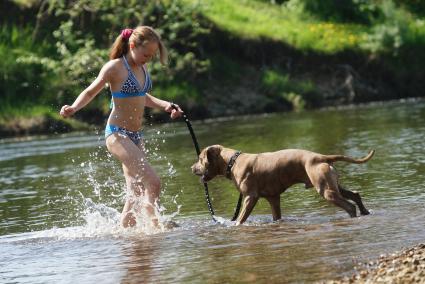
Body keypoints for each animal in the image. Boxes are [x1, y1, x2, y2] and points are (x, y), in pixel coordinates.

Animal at [192, 145, 374, 225]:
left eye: (200, 159)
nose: (191, 168)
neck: (232, 161)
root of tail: (321, 156)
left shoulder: (250, 198)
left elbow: (241, 219)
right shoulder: (274, 198)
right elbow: (276, 216)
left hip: (326, 190)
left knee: (349, 206)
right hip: (333, 185)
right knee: (355, 194)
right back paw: (365, 212)